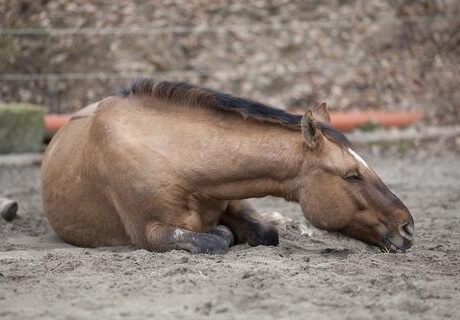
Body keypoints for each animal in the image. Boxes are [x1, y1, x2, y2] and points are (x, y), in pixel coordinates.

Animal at [41, 80, 416, 255]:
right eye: (352, 175)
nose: (408, 228)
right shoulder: (149, 232)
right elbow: (218, 238)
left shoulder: (234, 196)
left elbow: (265, 232)